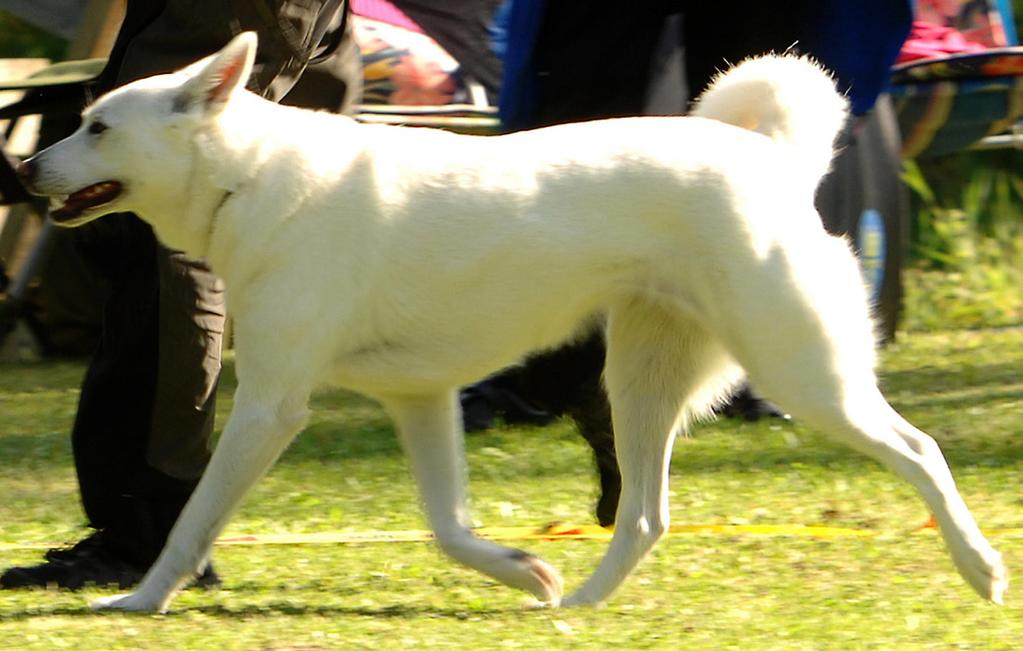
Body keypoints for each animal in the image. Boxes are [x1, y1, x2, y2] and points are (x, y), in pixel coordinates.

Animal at [18, 30, 1006, 610]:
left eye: (97, 126)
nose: (23, 171)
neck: (247, 172)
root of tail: (769, 158)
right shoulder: (420, 399)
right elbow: (447, 525)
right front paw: (523, 570)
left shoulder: (268, 407)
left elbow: (189, 523)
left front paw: (135, 600)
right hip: (641, 384)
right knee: (644, 514)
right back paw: (580, 605)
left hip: (803, 373)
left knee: (919, 450)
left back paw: (981, 568)